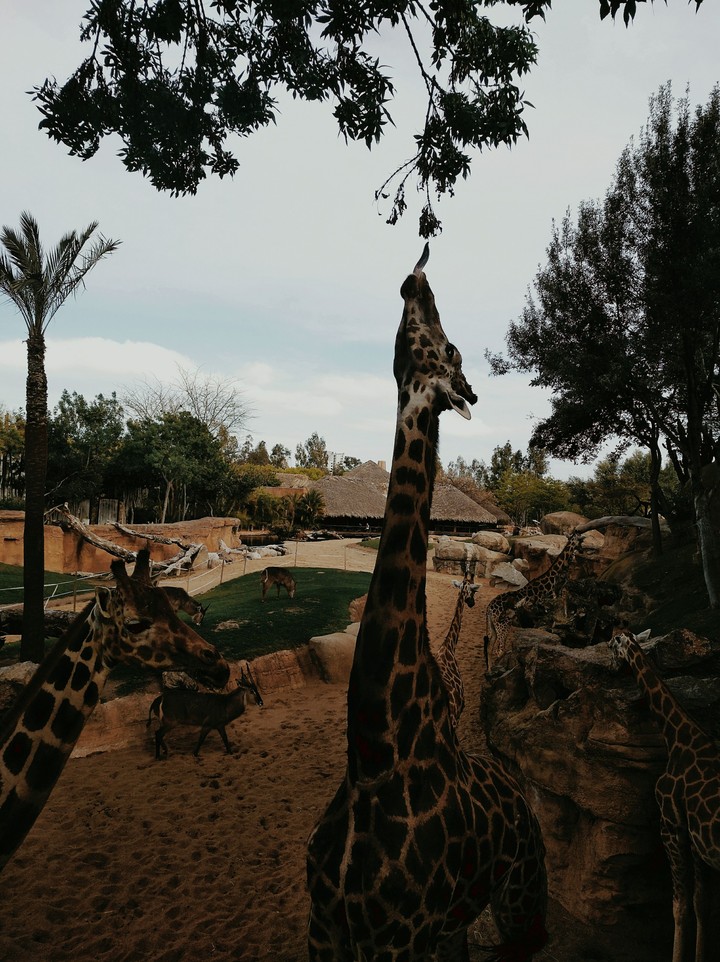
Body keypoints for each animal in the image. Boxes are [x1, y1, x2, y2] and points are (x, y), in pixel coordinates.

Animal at [484, 530, 582, 668]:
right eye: (579, 539)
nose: (580, 550)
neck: (551, 579)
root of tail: (489, 609)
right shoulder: (545, 610)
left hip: (492, 626)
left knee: (489, 647)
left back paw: (489, 670)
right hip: (503, 625)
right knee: (500, 650)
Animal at [607, 629, 720, 962]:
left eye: (611, 644)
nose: (611, 668)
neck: (679, 737)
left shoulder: (671, 825)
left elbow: (680, 906)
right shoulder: (696, 839)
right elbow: (702, 905)